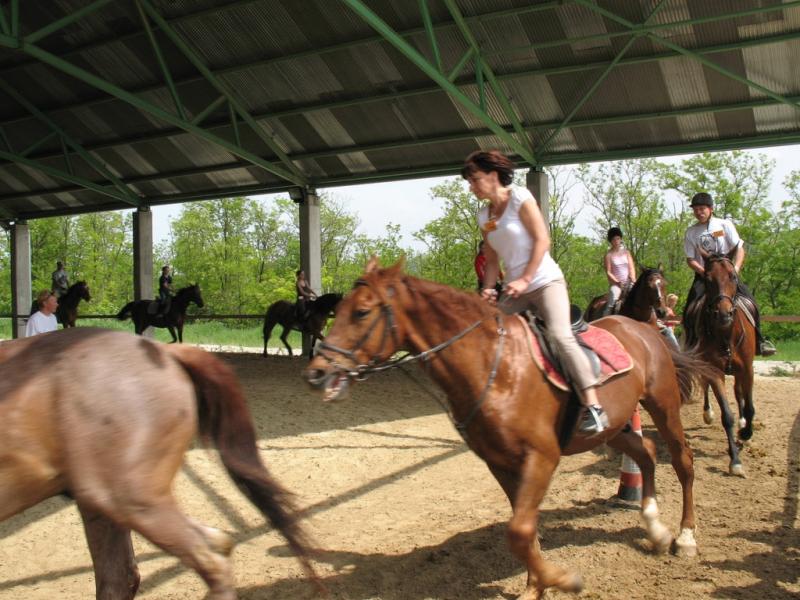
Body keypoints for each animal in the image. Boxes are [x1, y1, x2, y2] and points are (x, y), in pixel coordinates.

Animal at [304, 258, 716, 600]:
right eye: (337, 311)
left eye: (361, 312)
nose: (316, 374)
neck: (495, 366)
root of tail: (644, 327)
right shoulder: (500, 463)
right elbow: (523, 531)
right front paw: (538, 586)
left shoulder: (542, 458)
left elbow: (519, 531)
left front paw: (563, 580)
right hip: (614, 428)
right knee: (646, 454)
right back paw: (656, 529)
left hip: (663, 406)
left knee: (682, 461)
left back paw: (685, 537)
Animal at [688, 253, 756, 478]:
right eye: (708, 279)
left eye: (733, 276)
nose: (724, 314)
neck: (726, 336)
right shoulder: (715, 371)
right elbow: (727, 415)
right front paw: (735, 460)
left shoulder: (748, 369)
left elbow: (749, 406)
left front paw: (745, 433)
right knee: (707, 387)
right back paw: (708, 413)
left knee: (739, 392)